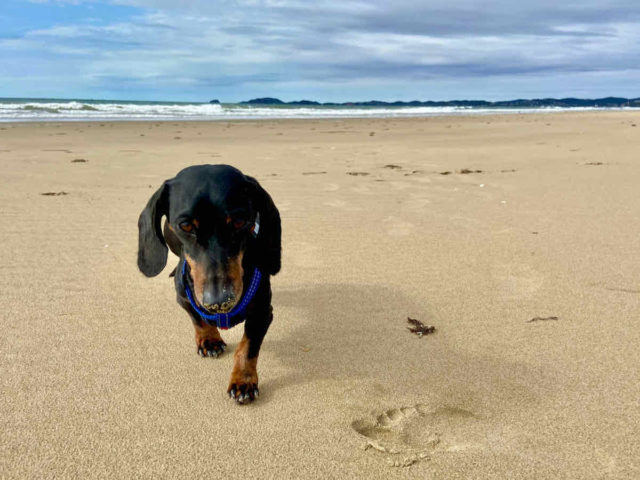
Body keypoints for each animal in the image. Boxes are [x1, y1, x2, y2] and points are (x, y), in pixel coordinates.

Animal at [138, 163, 280, 404]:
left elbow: (248, 347)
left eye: (240, 221)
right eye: (186, 226)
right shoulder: (183, 298)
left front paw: (243, 380)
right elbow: (198, 320)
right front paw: (209, 340)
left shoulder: (262, 313)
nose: (219, 301)